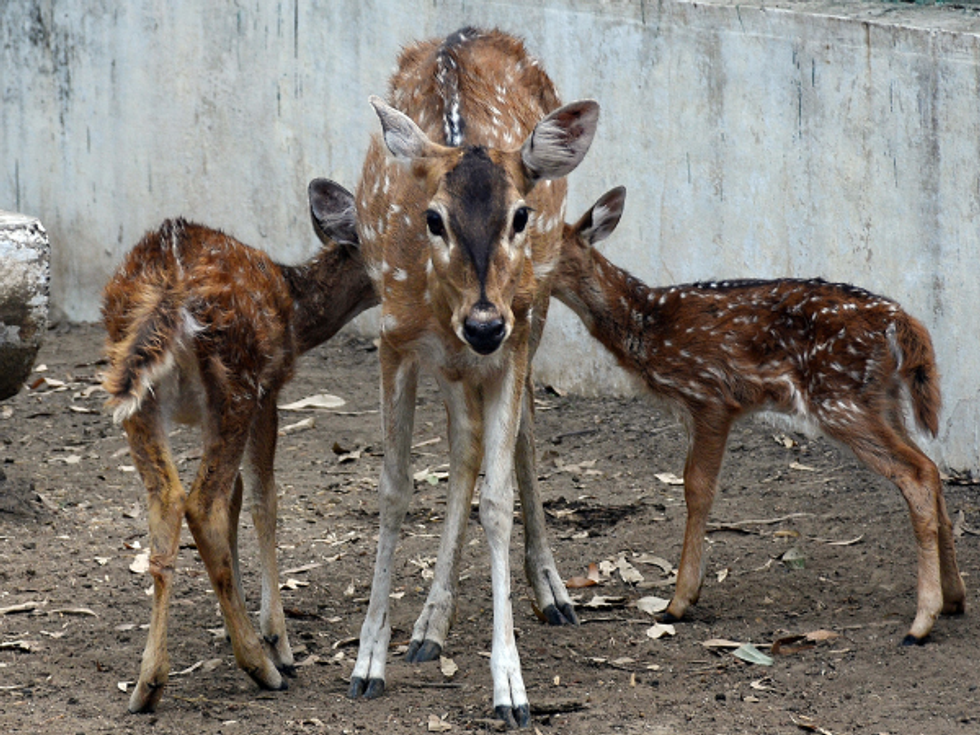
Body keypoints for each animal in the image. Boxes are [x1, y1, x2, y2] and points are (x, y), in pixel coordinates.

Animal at [101, 179, 378, 713]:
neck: (298, 313)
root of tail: (169, 280)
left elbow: (237, 500)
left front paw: (239, 618)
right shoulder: (271, 390)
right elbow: (263, 500)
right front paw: (277, 639)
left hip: (139, 394)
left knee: (167, 501)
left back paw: (148, 684)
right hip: (237, 376)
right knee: (202, 503)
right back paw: (262, 667)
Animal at [347, 28, 598, 727]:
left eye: (521, 215)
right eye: (432, 218)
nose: (484, 323)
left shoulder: (513, 333)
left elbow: (498, 498)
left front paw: (511, 688)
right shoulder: (394, 338)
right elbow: (394, 488)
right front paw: (368, 662)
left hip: (536, 308)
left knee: (523, 433)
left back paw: (553, 592)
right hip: (457, 361)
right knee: (463, 446)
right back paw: (429, 625)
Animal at [550, 185, 965, 645]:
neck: (645, 326)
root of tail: (901, 320)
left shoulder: (710, 395)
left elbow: (696, 488)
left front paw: (679, 602)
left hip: (838, 398)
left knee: (916, 473)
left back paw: (921, 622)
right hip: (881, 399)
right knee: (930, 467)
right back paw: (955, 599)